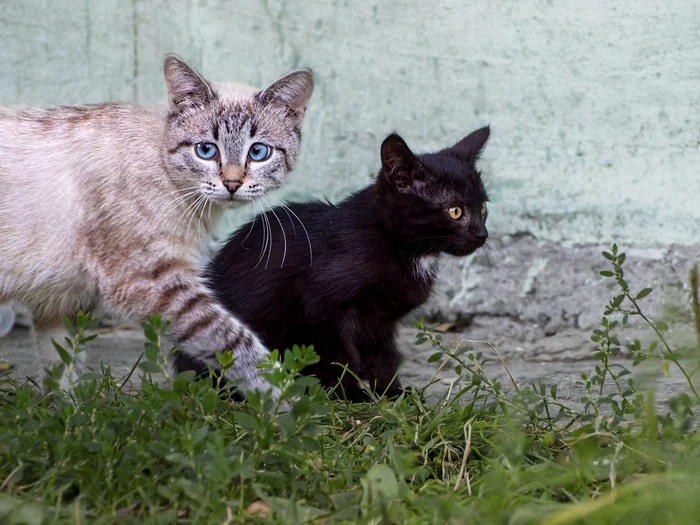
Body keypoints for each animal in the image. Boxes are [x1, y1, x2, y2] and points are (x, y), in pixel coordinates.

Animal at [0, 54, 314, 398]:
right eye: (206, 150)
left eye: (258, 153)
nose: (232, 184)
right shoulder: (153, 282)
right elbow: (235, 341)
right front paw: (283, 401)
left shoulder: (61, 301)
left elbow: (64, 371)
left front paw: (69, 410)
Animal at [200, 126, 490, 398]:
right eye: (455, 211)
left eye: (483, 208)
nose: (482, 234)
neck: (396, 245)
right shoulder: (323, 303)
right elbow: (337, 354)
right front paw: (350, 394)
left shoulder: (382, 319)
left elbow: (385, 355)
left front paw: (391, 394)